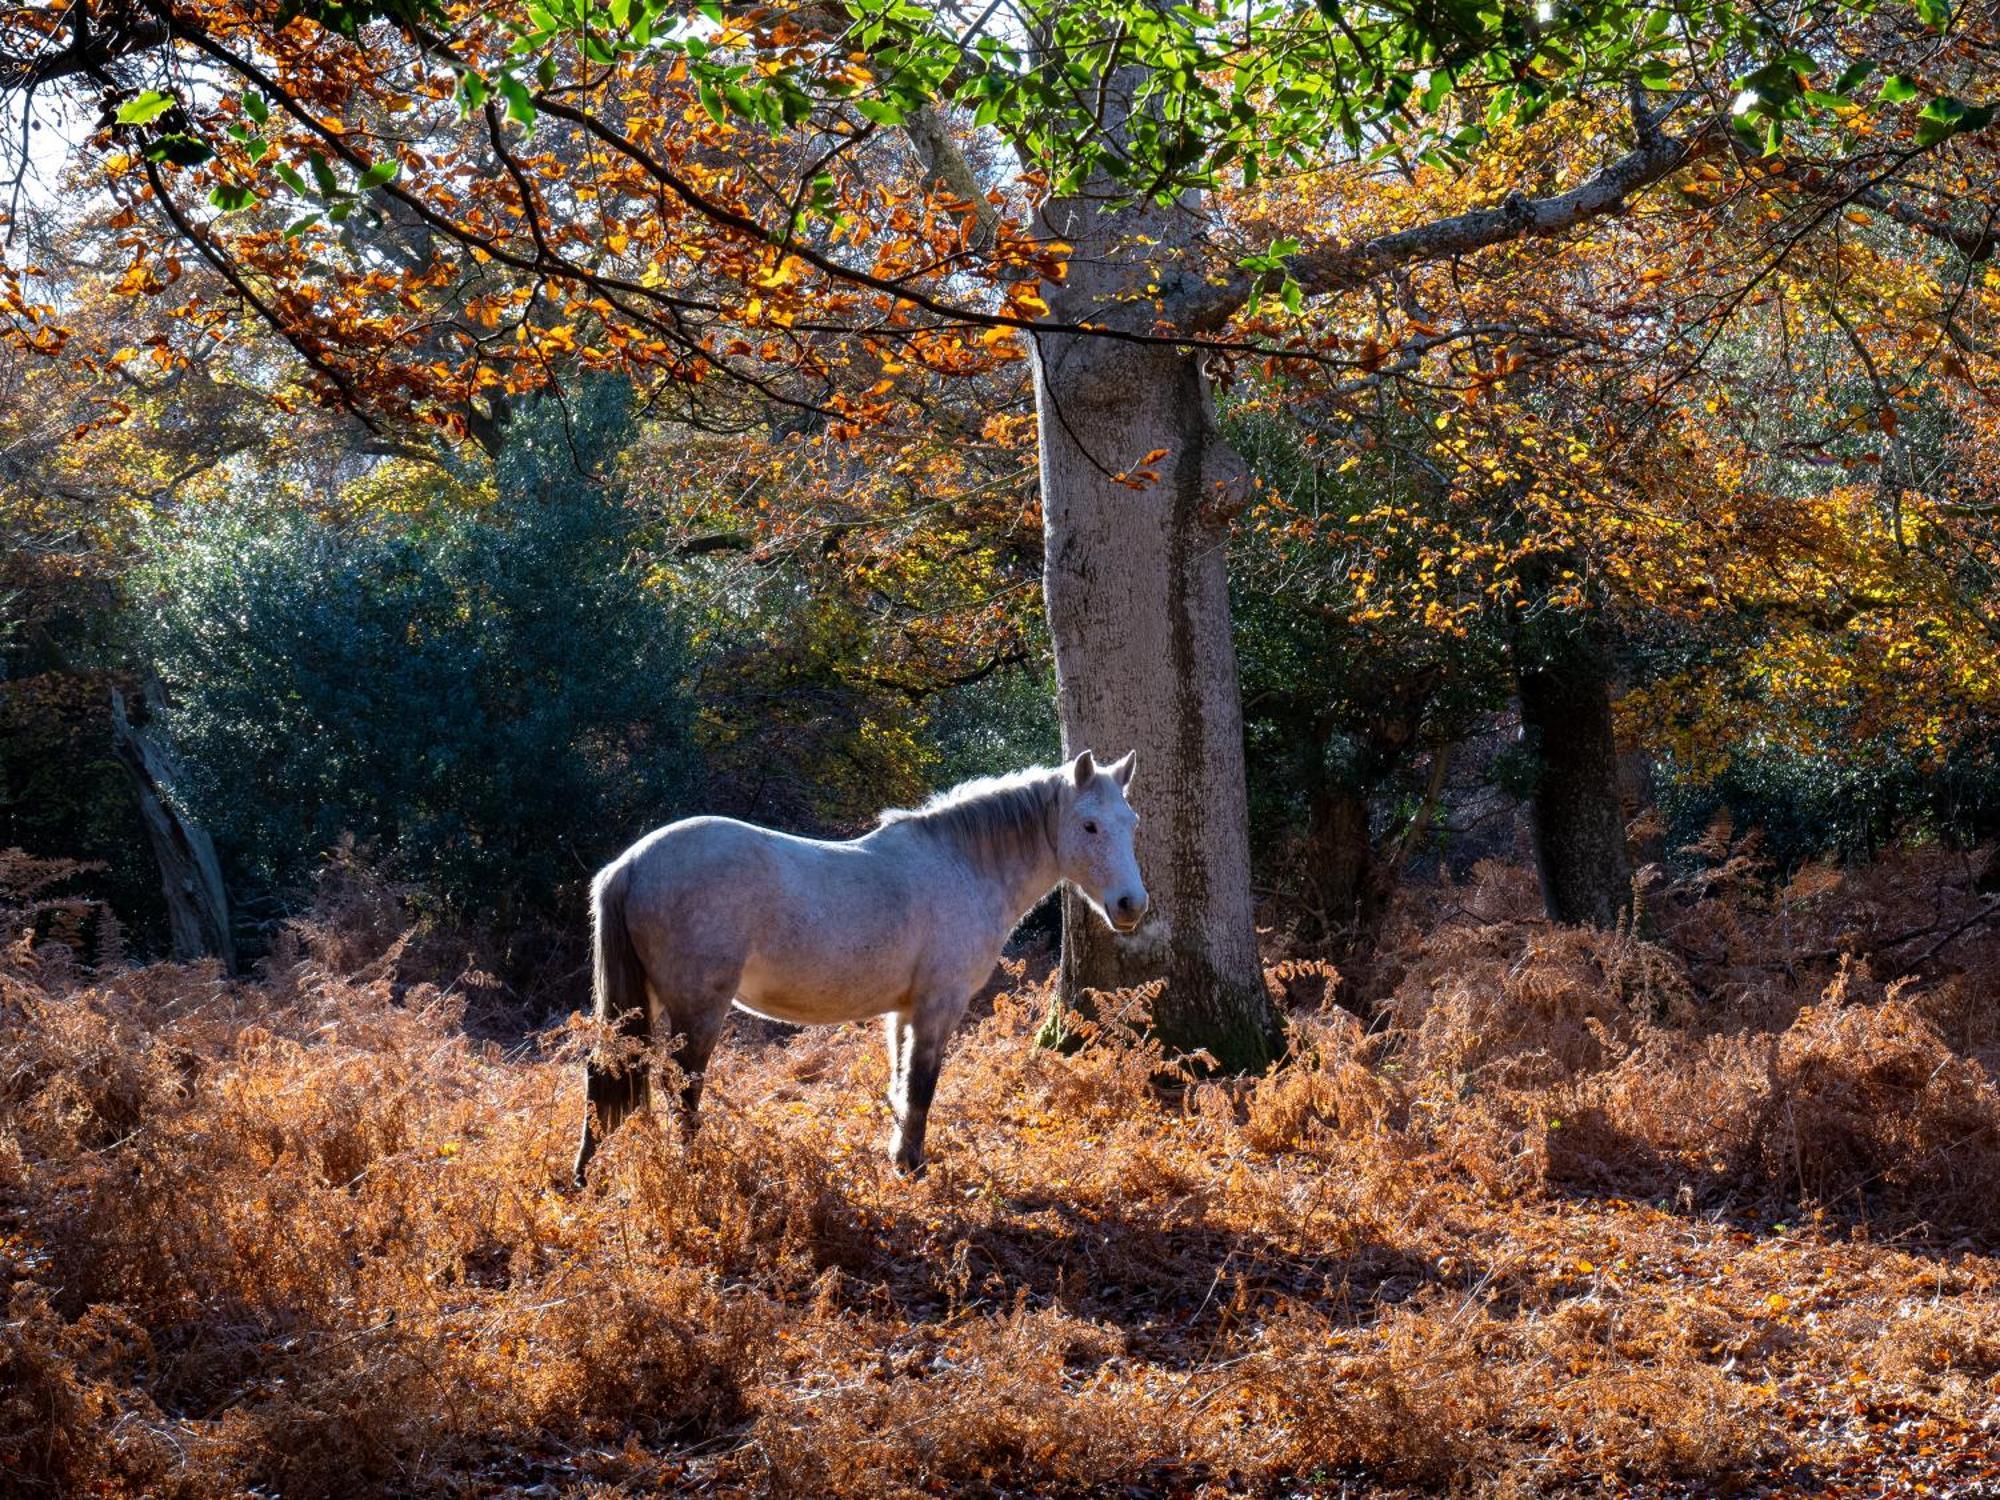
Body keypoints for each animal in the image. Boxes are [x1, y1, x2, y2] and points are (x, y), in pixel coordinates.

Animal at [576, 752, 1144, 1184]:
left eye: (1131, 824)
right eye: (1089, 825)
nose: (1130, 905)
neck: (962, 865)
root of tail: (629, 864)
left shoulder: (902, 1012)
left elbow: (900, 1084)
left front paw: (896, 1158)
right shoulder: (938, 1007)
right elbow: (921, 1086)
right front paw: (912, 1168)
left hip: (646, 1004)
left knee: (609, 1074)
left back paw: (591, 1175)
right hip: (698, 1009)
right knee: (682, 1089)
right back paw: (690, 1169)